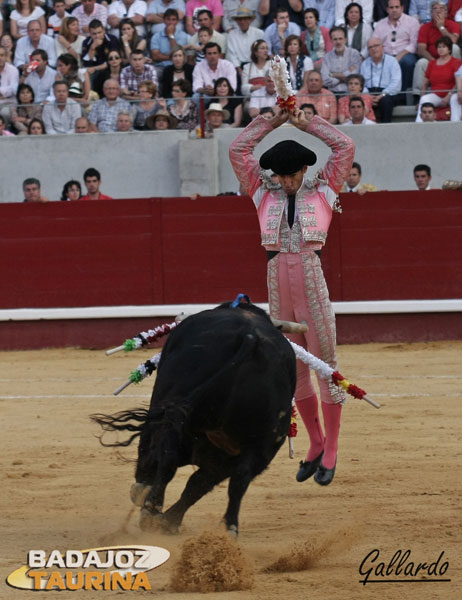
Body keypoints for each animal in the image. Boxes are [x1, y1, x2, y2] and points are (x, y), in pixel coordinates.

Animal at [92, 304, 298, 536]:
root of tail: (251, 340)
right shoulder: (225, 459)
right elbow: (198, 485)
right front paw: (170, 521)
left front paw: (155, 508)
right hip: (262, 447)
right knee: (239, 479)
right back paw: (228, 528)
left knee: (169, 459)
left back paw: (150, 510)